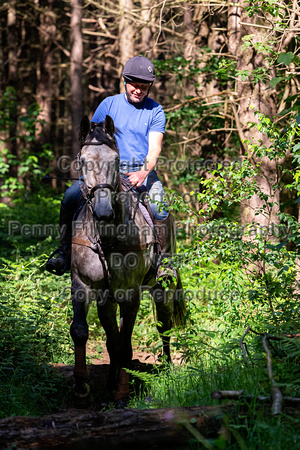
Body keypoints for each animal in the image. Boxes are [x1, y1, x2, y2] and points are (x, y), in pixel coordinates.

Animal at [70, 114, 185, 402]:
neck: (107, 237)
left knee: (163, 324)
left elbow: (124, 343)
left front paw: (121, 393)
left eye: (114, 160)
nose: (103, 211)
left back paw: (167, 366)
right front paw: (82, 386)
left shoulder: (131, 293)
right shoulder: (86, 286)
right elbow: (86, 333)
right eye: (83, 160)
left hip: (160, 288)